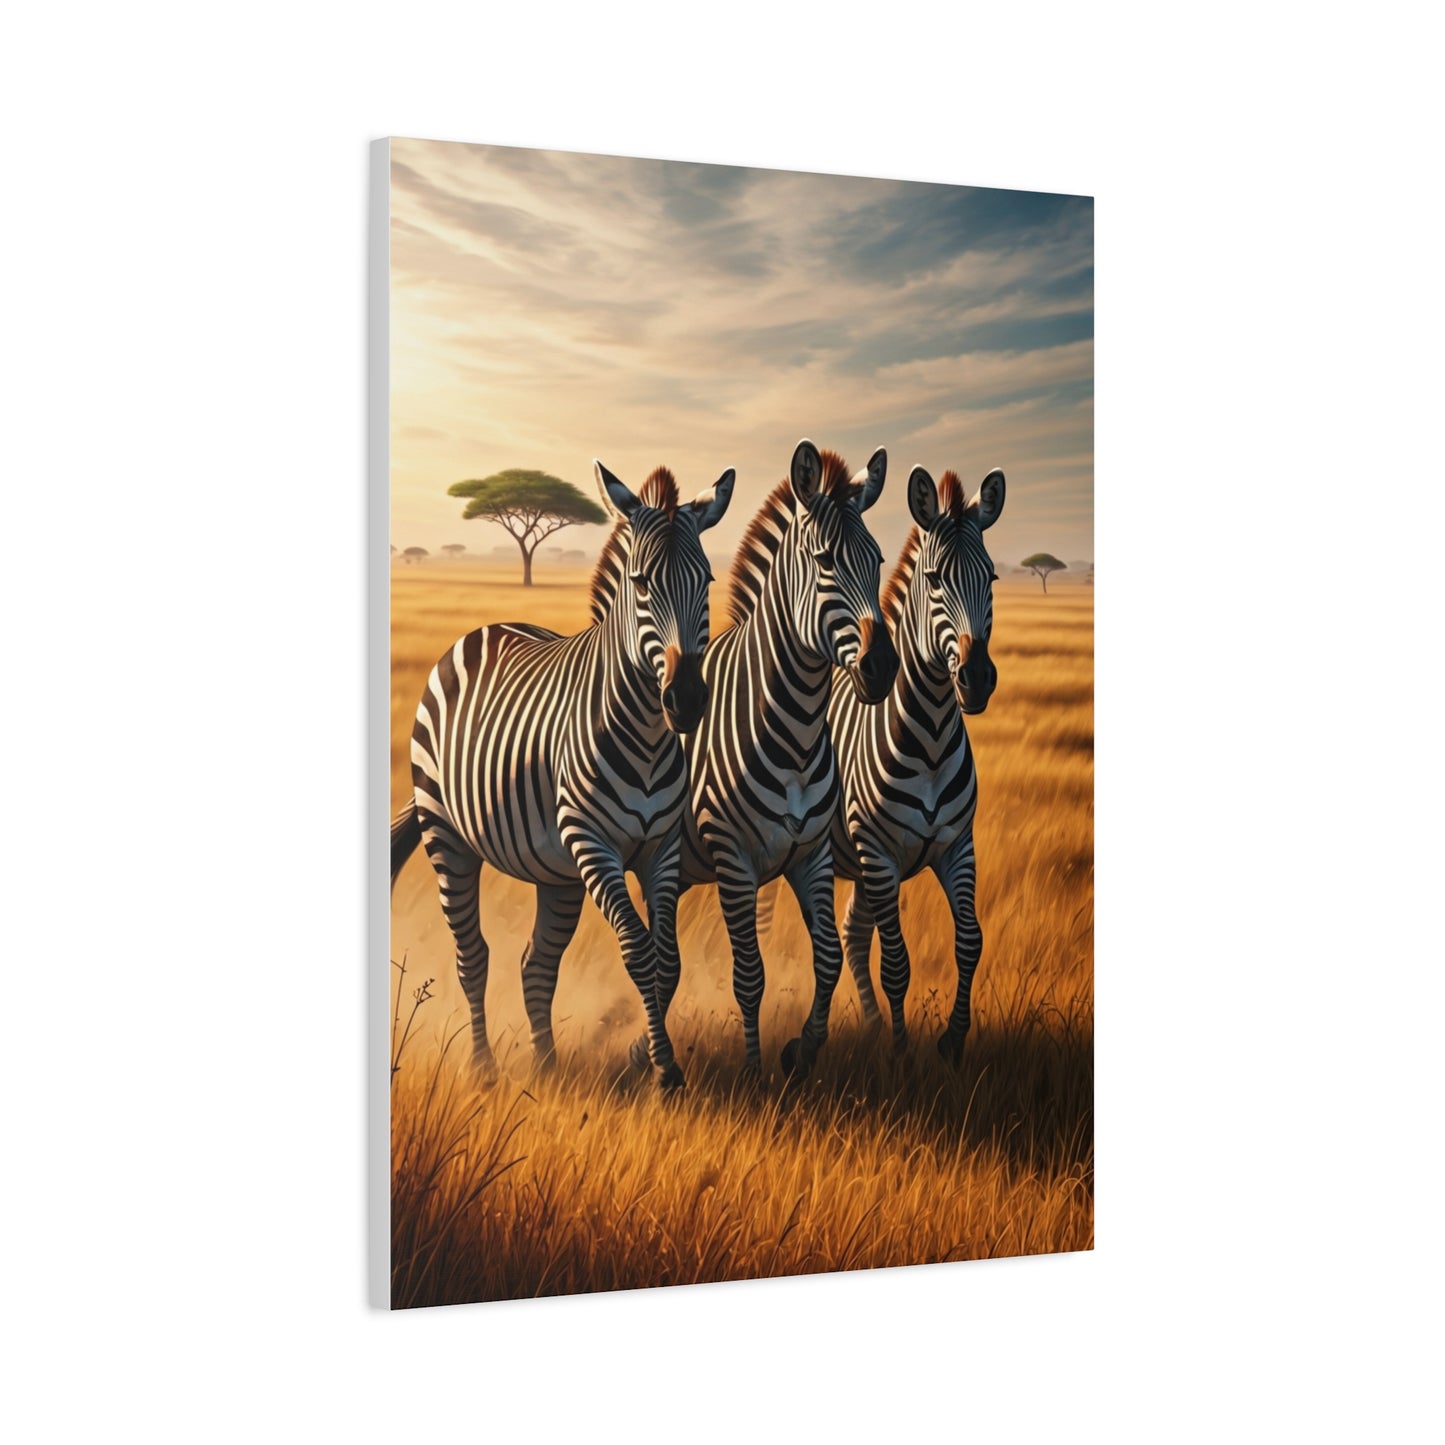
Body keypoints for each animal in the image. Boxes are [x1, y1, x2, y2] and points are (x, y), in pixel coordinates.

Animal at [389, 460, 734, 1091]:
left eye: (708, 581)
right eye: (641, 583)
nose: (688, 700)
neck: (649, 736)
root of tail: (485, 629)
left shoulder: (661, 846)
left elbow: (668, 957)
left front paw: (657, 1060)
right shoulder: (592, 842)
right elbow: (639, 951)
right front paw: (663, 1069)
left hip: (556, 873)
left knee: (537, 963)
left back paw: (546, 1067)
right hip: (449, 837)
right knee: (473, 957)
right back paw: (484, 1069)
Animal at [629, 439, 899, 1078]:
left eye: (877, 561)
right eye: (825, 562)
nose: (881, 668)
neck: (795, 733)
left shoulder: (812, 854)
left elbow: (827, 958)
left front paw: (802, 1049)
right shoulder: (734, 860)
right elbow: (749, 974)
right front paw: (754, 1072)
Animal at [827, 463, 1006, 1063]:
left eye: (992, 578)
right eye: (934, 580)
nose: (976, 679)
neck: (927, 740)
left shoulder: (957, 847)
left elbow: (970, 941)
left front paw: (951, 1041)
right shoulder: (880, 854)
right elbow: (898, 962)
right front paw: (903, 1054)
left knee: (851, 933)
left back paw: (870, 1024)